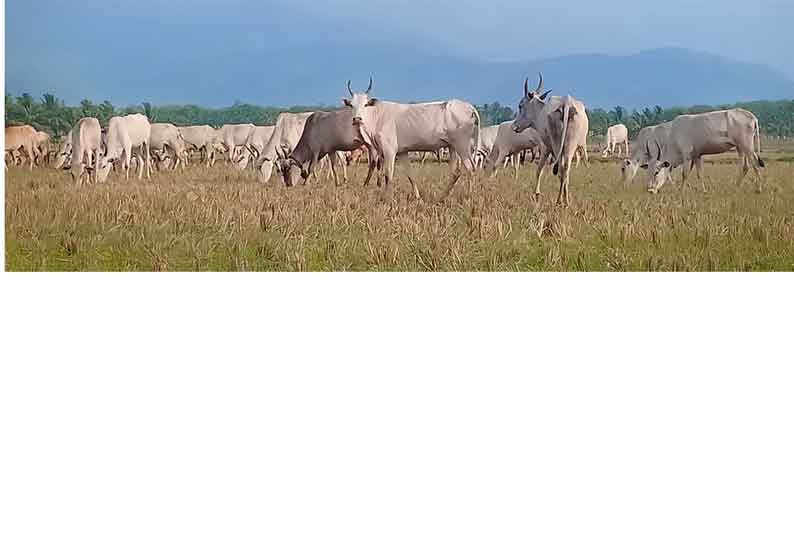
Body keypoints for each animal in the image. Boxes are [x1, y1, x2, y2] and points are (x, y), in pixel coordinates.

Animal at [344, 78, 480, 202]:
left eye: (366, 104)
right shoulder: (402, 152)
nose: (357, 119)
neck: (377, 116)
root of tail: (468, 106)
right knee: (455, 172)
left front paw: (387, 199)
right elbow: (410, 175)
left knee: (470, 168)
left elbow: (388, 175)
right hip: (452, 147)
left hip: (462, 145)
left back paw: (469, 197)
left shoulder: (389, 151)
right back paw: (442, 197)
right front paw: (418, 197)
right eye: (351, 105)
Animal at [512, 74, 588, 206]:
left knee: (561, 170)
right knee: (566, 169)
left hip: (557, 146)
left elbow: (539, 170)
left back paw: (559, 200)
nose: (515, 126)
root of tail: (566, 102)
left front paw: (536, 194)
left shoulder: (545, 148)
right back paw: (565, 201)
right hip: (570, 146)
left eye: (520, 105)